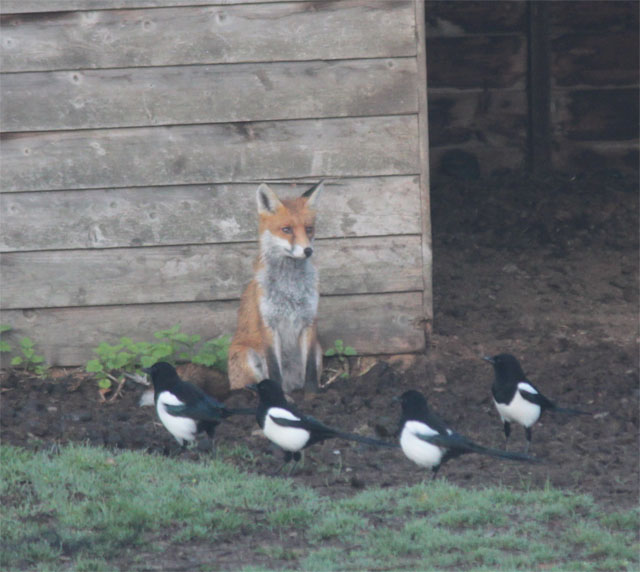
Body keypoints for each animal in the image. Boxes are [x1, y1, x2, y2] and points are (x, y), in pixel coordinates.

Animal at [228, 181, 324, 394]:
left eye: (309, 229)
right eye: (286, 229)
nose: (308, 250)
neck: (290, 288)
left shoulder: (310, 320)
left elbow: (310, 371)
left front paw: (313, 396)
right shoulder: (268, 324)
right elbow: (274, 369)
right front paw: (281, 398)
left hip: (319, 352)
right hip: (246, 355)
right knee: (251, 386)